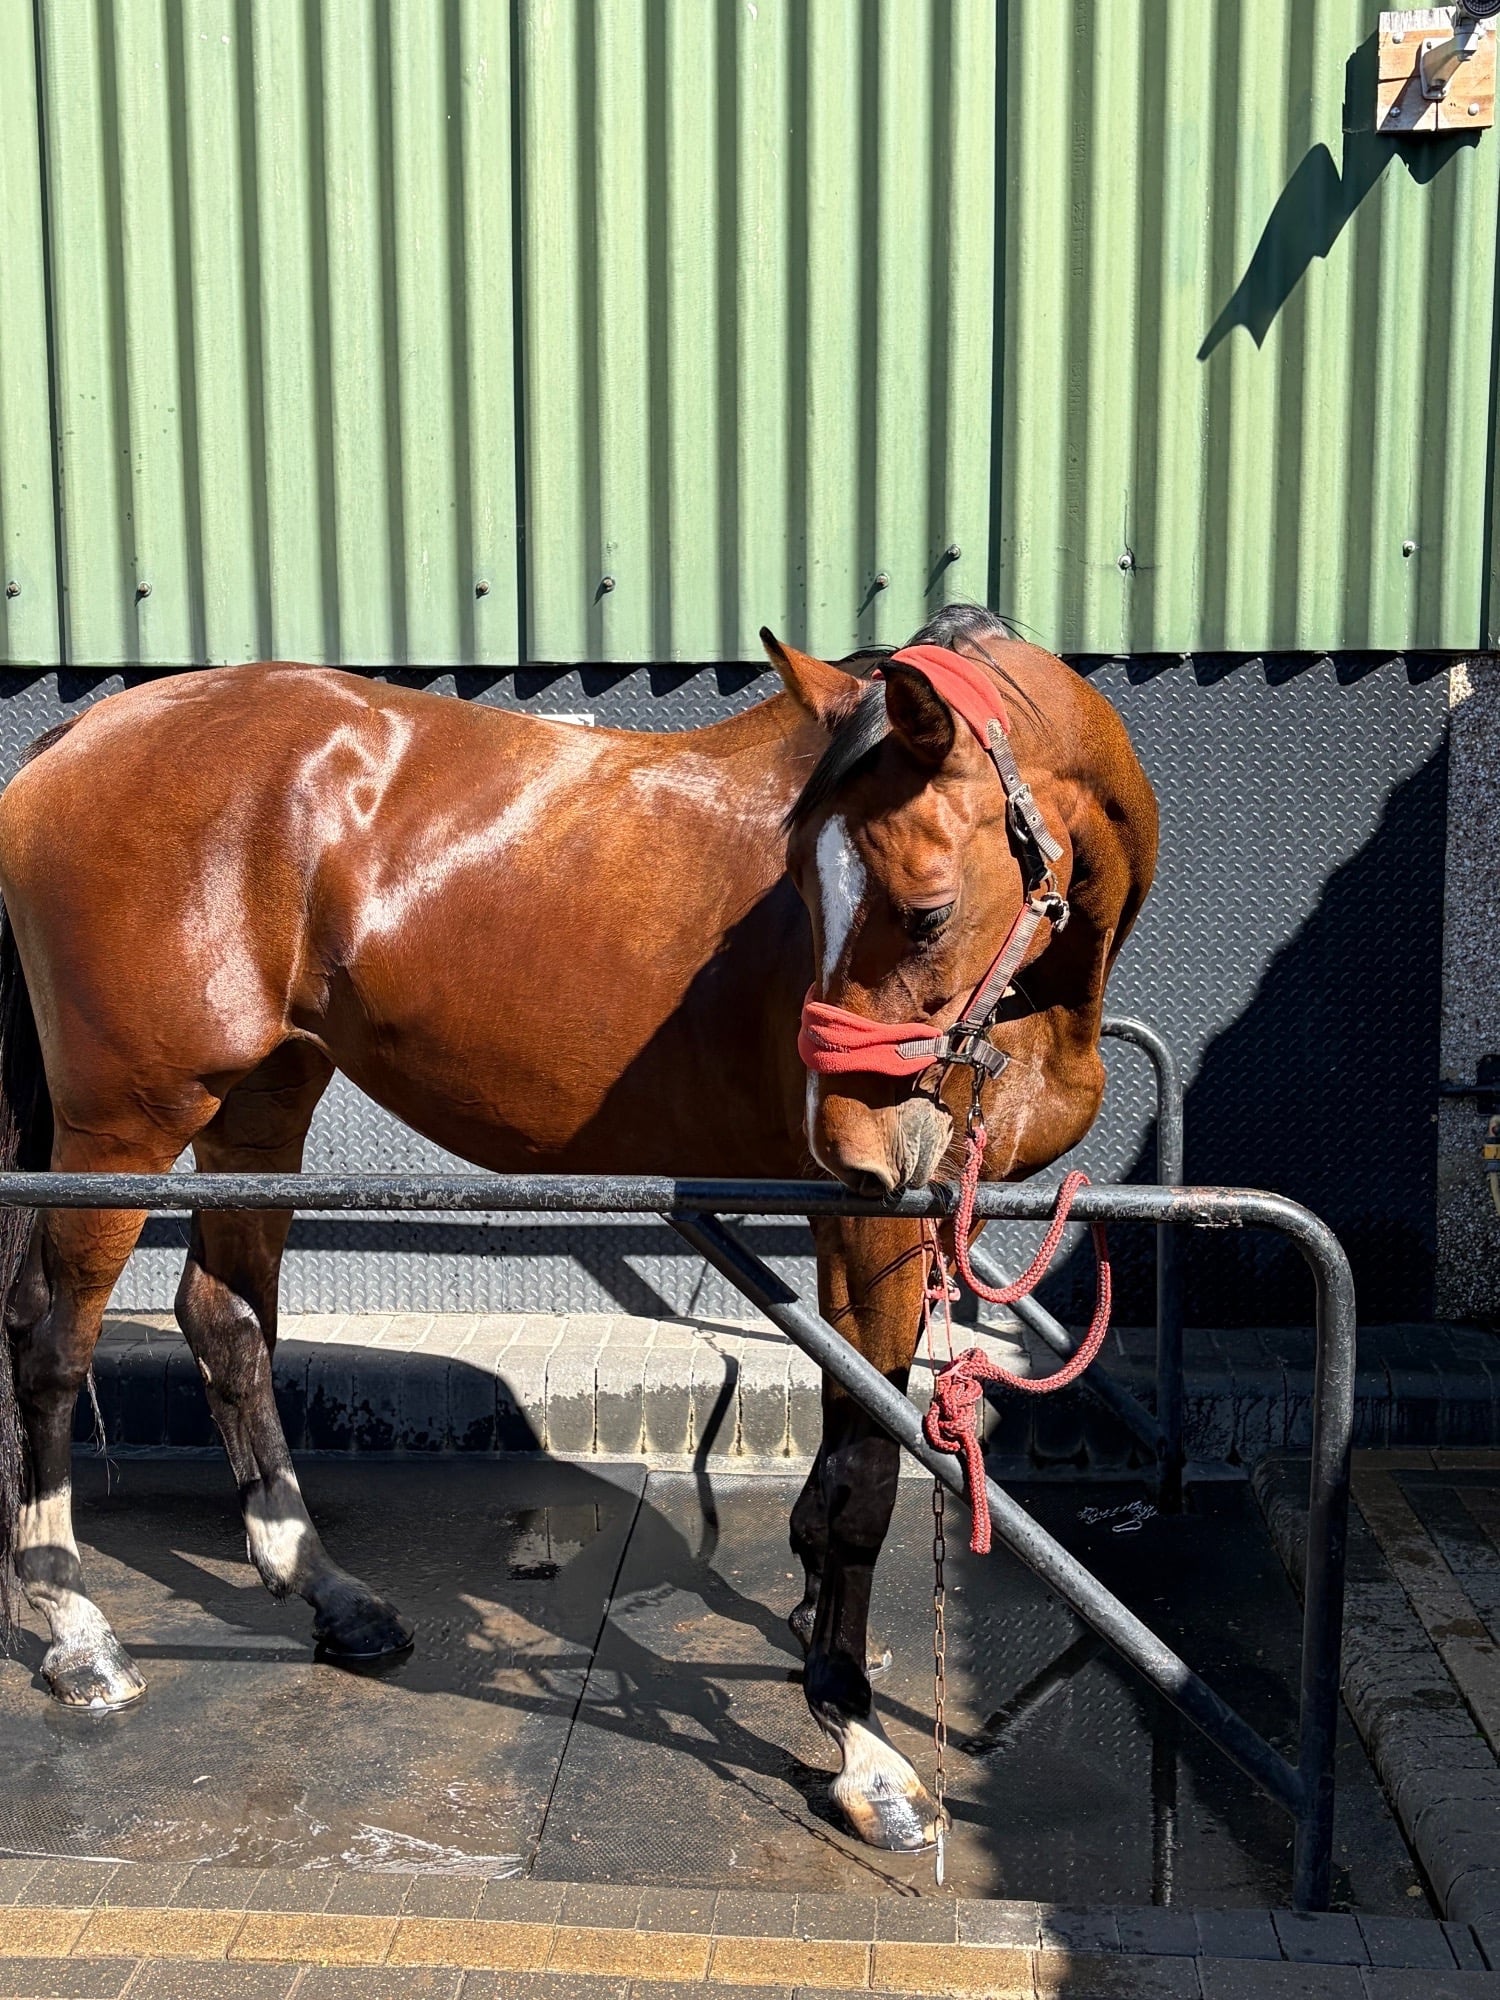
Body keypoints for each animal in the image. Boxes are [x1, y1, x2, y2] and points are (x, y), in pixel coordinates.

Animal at [0, 602, 1156, 1854]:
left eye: (925, 908)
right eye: (804, 891)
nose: (848, 1139)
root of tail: (75, 737)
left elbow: (852, 1444)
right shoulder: (866, 1218)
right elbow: (862, 1474)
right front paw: (860, 1745)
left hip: (261, 1098)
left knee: (225, 1319)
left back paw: (327, 1590)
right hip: (124, 1121)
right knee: (52, 1335)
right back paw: (75, 1625)